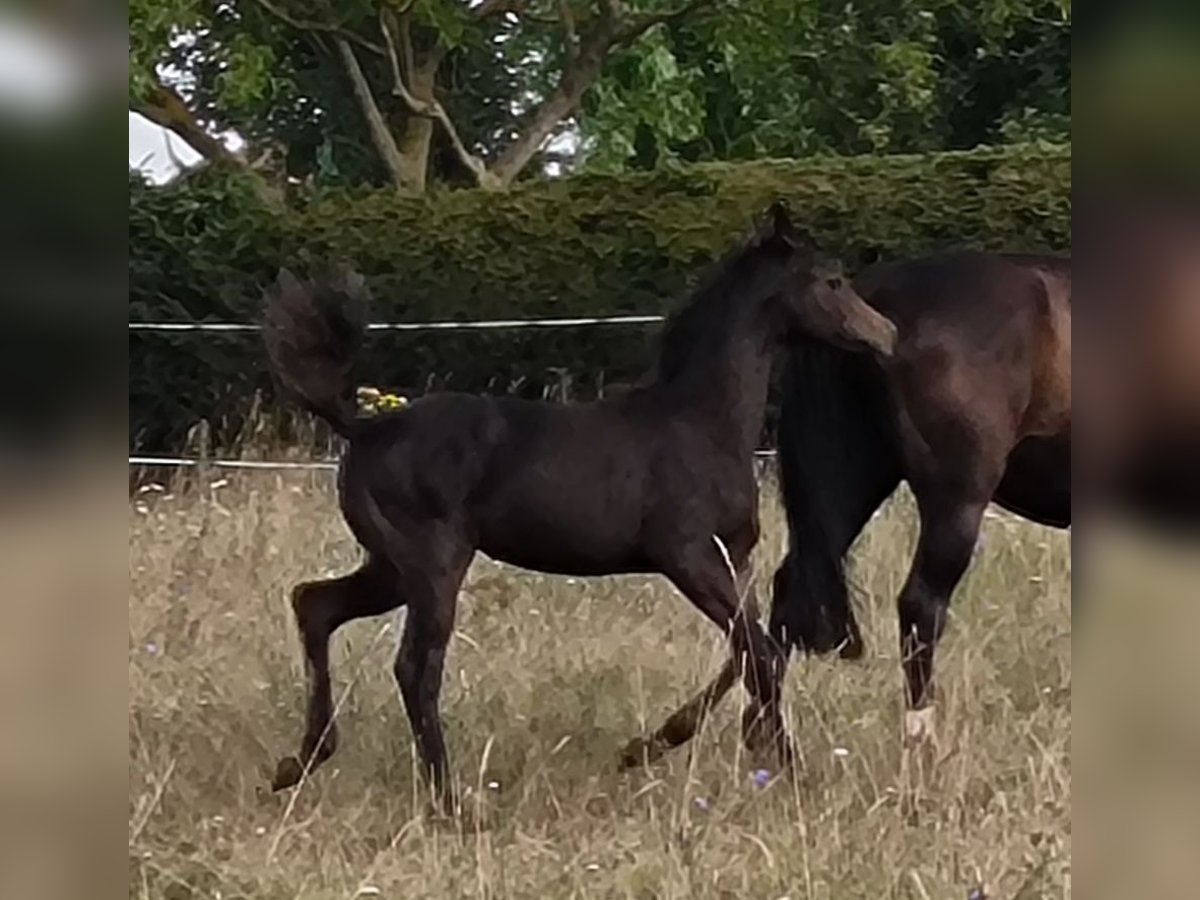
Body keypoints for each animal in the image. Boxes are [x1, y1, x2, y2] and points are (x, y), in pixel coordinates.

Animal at [262, 206, 897, 816]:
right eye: (832, 281)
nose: (885, 335)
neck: (701, 421)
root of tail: (364, 428)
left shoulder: (733, 558)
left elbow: (752, 650)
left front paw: (663, 746)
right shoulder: (686, 555)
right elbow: (759, 653)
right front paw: (785, 766)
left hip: (391, 567)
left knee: (315, 604)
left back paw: (299, 761)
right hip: (433, 562)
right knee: (415, 669)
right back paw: (450, 803)